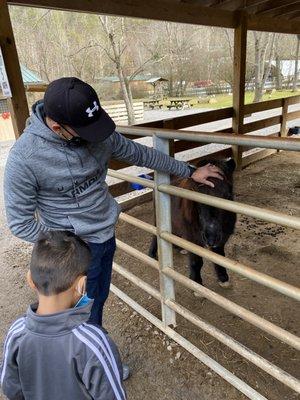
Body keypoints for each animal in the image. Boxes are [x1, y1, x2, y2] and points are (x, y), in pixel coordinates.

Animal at [149, 159, 237, 288]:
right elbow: (196, 261)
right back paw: (151, 253)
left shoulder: (222, 238)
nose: (211, 237)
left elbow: (220, 256)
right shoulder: (193, 238)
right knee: (155, 234)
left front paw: (223, 278)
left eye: (227, 195)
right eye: (194, 194)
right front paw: (196, 283)